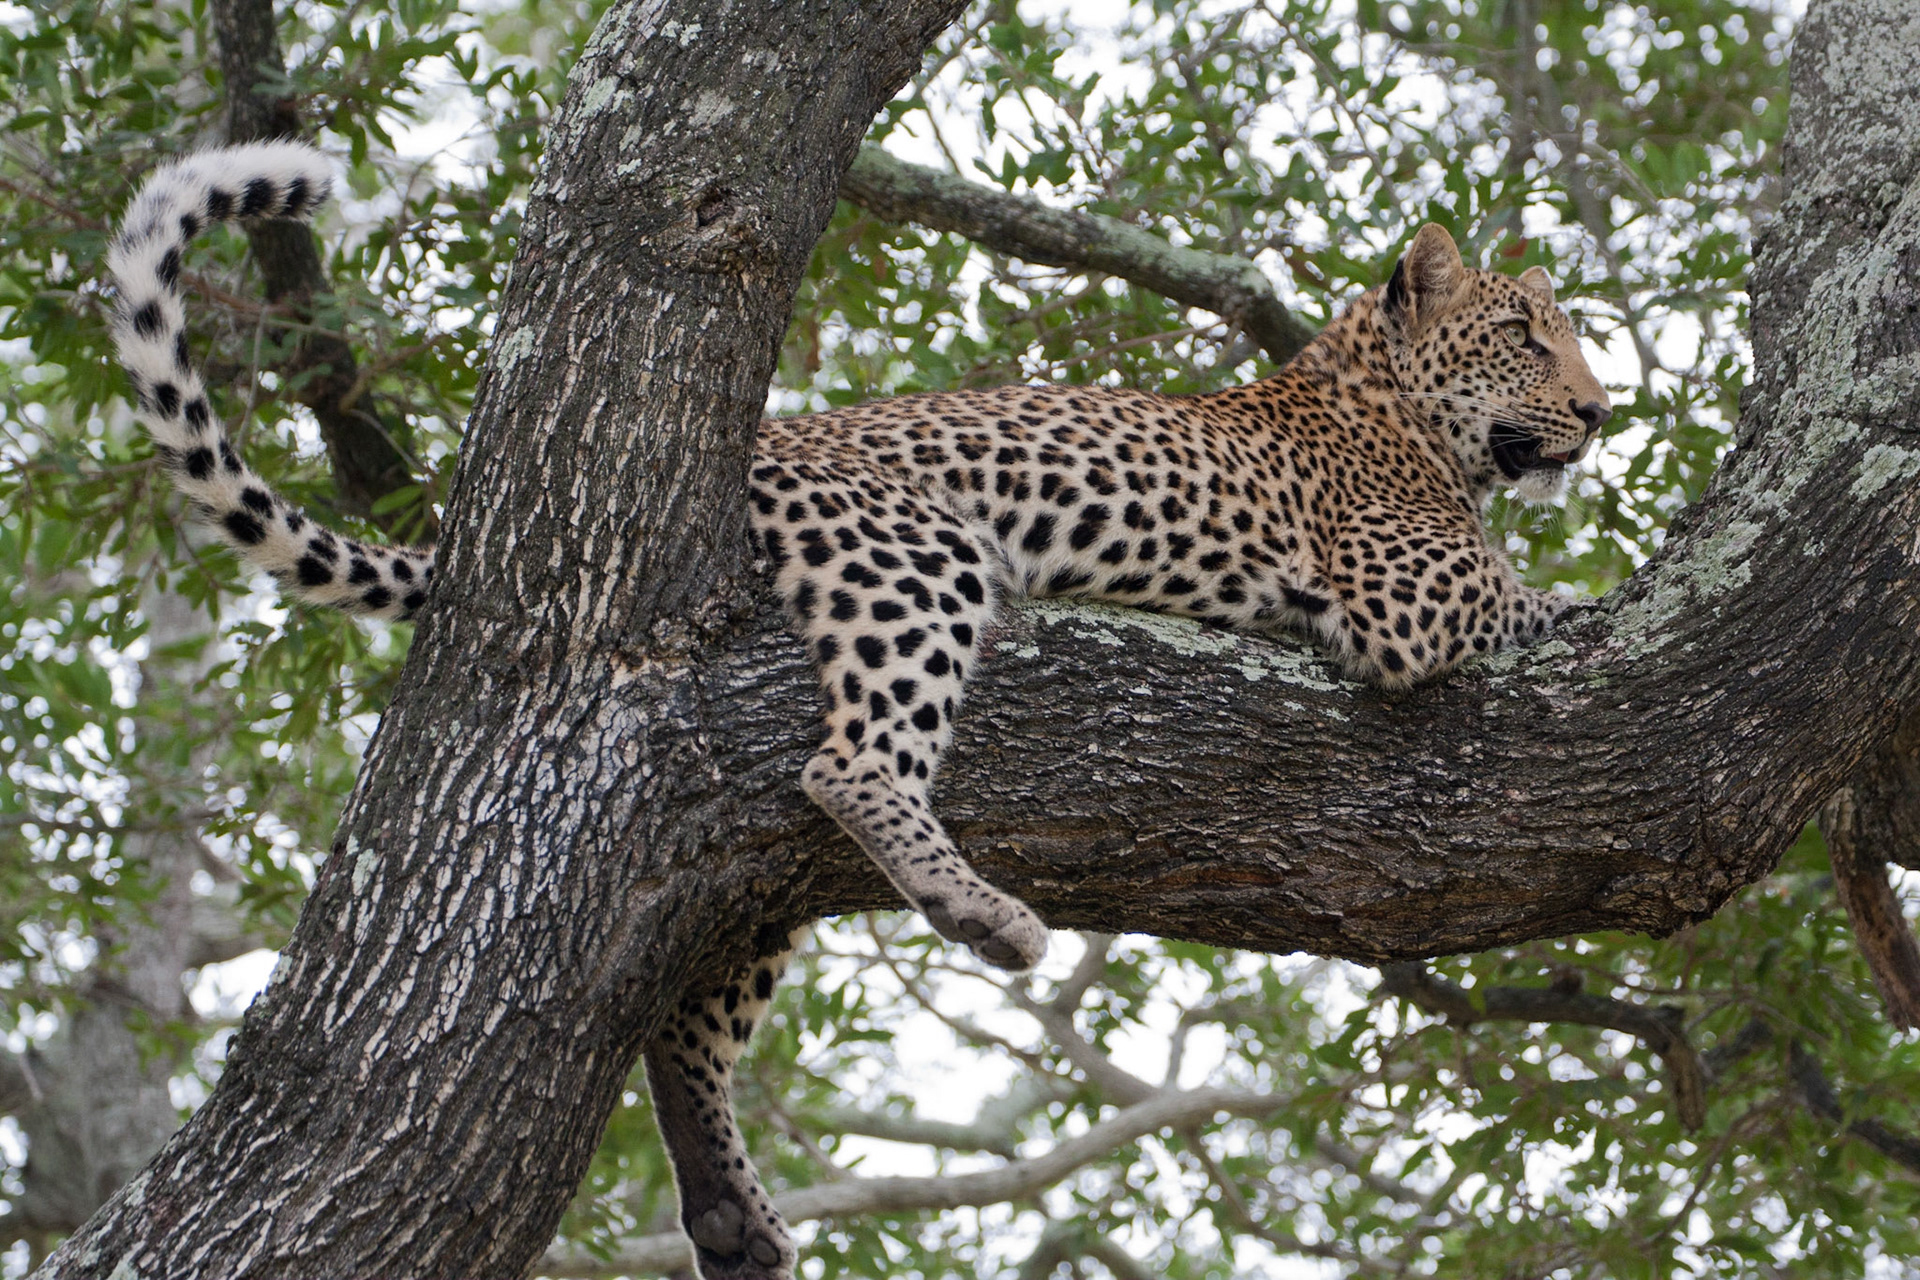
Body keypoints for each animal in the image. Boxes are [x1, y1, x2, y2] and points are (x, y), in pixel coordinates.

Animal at [108, 141, 1609, 1280]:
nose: (1605, 411)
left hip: (762, 876)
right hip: (915, 554)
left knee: (690, 1011)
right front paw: (1598, 589)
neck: (1384, 398)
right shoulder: (1407, 592)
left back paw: (733, 1213)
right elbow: (1538, 594)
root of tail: (761, 452)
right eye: (1523, 334)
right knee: (851, 768)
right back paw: (986, 913)